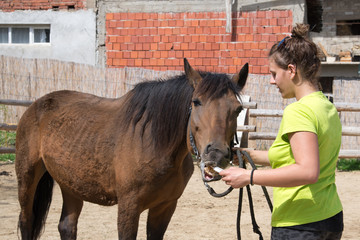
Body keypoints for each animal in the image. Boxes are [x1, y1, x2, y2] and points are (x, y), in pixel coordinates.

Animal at [15, 58, 249, 240]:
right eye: (196, 102)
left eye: (238, 109)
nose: (216, 154)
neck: (155, 143)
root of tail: (37, 104)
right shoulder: (129, 207)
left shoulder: (165, 207)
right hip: (27, 178)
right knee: (26, 221)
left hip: (71, 184)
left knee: (67, 226)